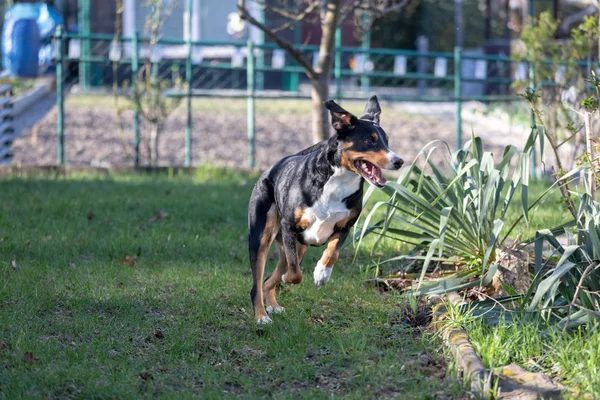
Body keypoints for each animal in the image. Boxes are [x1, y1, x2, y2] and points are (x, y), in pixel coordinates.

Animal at [248, 95, 404, 324]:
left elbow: (332, 253)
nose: (399, 161)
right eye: (370, 140)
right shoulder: (288, 226)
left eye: (387, 140)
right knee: (258, 283)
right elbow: (295, 274)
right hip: (261, 238)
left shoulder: (344, 227)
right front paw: (297, 277)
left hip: (297, 246)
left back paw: (273, 306)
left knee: (270, 279)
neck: (337, 181)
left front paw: (322, 274)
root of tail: (269, 170)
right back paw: (261, 315)